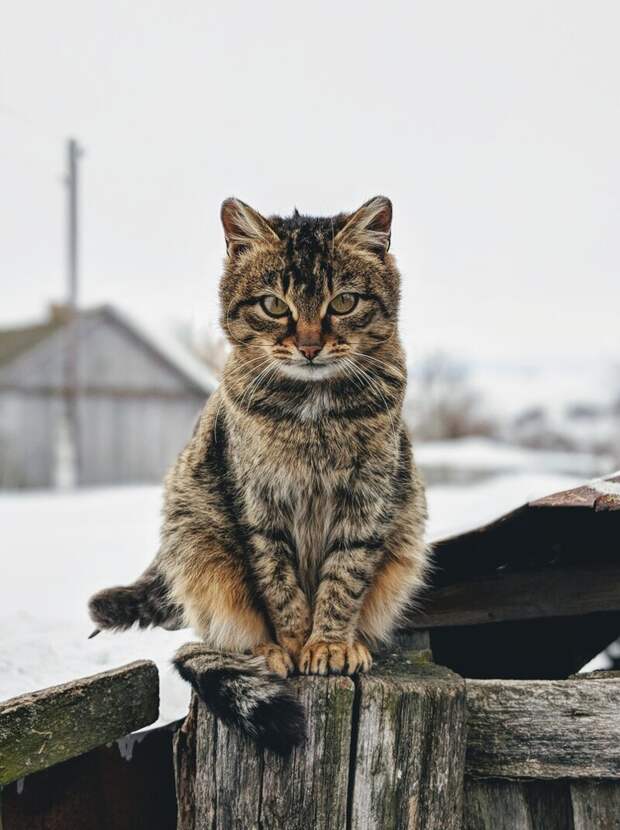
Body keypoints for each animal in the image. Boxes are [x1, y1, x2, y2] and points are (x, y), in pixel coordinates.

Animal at [89, 198, 428, 756]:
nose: (309, 346)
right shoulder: (260, 506)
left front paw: (329, 644)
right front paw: (291, 644)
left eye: (344, 302)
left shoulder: (367, 502)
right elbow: (281, 587)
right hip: (199, 546)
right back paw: (263, 650)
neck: (313, 413)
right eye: (273, 305)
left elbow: (343, 579)